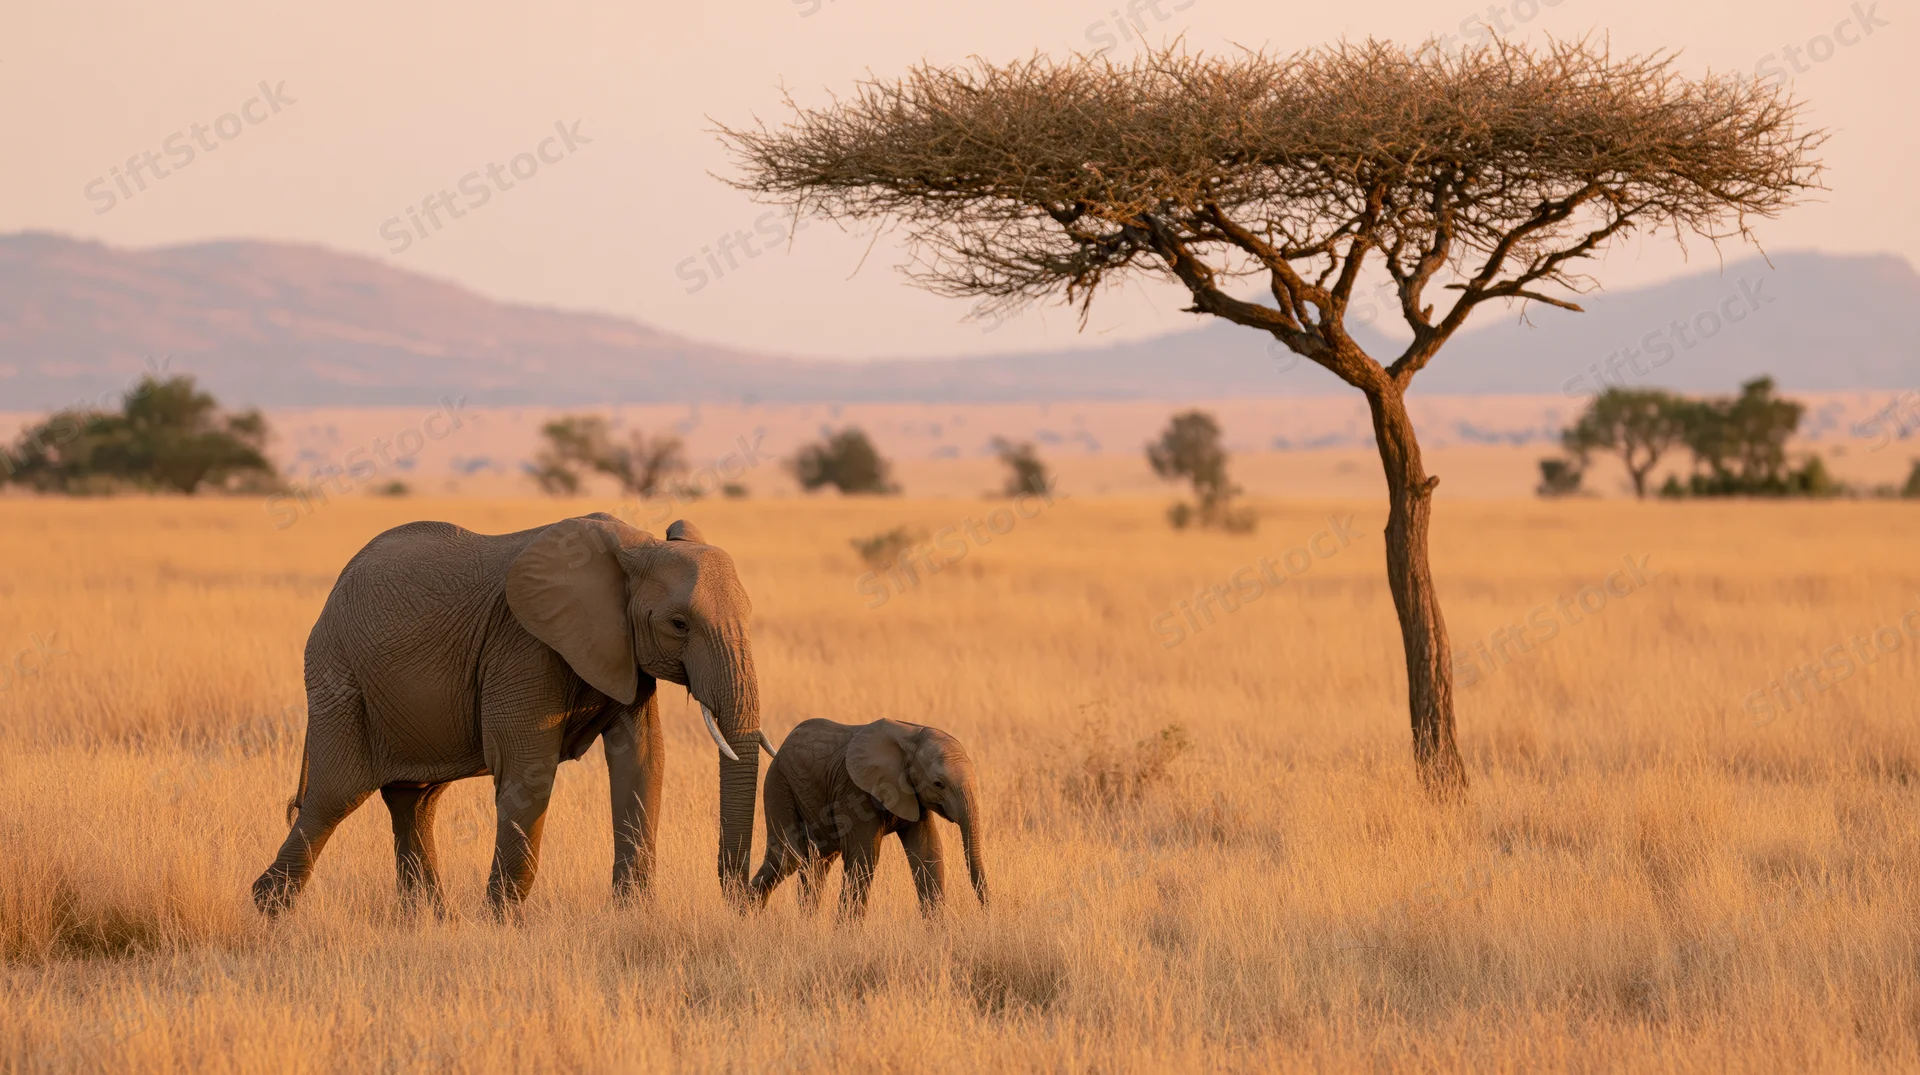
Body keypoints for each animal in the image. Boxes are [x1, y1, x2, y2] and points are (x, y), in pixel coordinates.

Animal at [251, 514, 769, 916]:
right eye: (678, 625)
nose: (744, 898)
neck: (636, 547)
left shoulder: (624, 653)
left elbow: (642, 762)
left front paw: (633, 916)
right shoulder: (522, 644)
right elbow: (529, 769)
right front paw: (502, 922)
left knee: (413, 800)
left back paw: (430, 921)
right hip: (339, 676)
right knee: (335, 795)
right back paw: (267, 907)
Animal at [748, 718, 988, 917]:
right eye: (939, 784)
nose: (986, 911)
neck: (912, 737)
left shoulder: (915, 798)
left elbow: (928, 852)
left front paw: (938, 935)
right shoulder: (855, 790)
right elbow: (864, 857)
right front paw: (846, 936)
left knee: (817, 860)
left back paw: (806, 924)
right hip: (778, 783)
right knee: (788, 857)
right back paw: (746, 913)